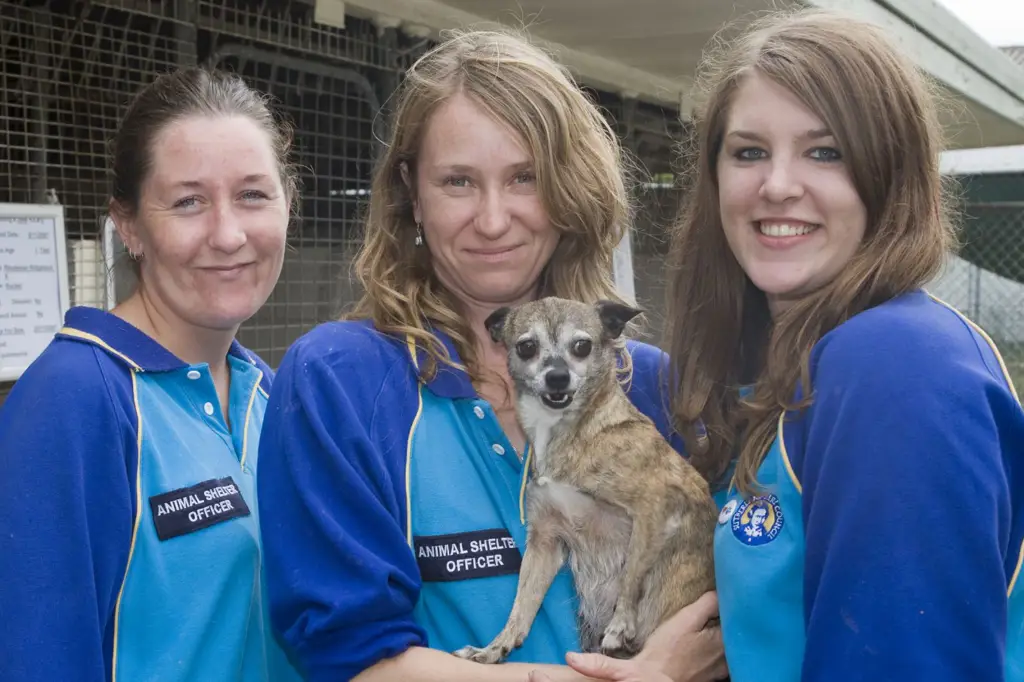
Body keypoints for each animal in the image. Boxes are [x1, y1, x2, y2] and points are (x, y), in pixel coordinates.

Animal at [452, 294, 716, 659]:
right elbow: (522, 604)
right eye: (526, 347)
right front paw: (495, 647)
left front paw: (620, 625)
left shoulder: (656, 507)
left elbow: (632, 572)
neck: (566, 431)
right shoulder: (545, 541)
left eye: (582, 346)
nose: (557, 377)